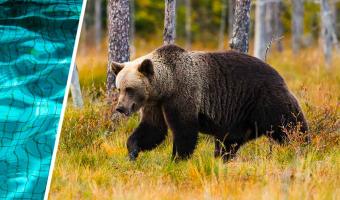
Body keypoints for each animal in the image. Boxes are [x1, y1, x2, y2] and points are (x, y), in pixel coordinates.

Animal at [111, 44, 308, 162]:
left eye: (129, 89)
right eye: (119, 88)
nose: (120, 108)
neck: (166, 86)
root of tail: (279, 74)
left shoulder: (184, 94)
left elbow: (184, 130)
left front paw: (177, 159)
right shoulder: (155, 104)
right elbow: (153, 129)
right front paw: (132, 151)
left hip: (265, 100)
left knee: (290, 125)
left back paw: (302, 146)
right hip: (238, 118)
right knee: (228, 142)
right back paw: (222, 159)